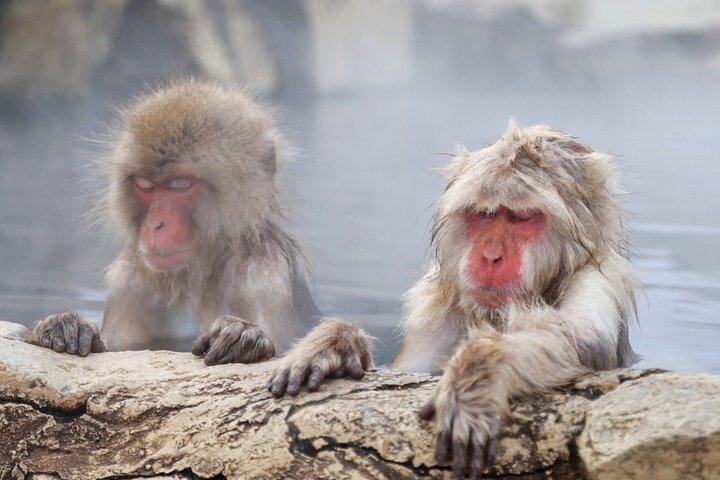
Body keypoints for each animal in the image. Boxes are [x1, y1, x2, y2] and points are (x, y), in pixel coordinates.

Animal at [26, 80, 372, 376]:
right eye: (145, 185)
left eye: (180, 185)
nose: (155, 225)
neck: (200, 275)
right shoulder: (130, 276)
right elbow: (119, 347)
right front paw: (66, 326)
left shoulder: (265, 275)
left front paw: (242, 336)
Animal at [391, 121, 639, 479]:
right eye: (484, 214)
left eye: (520, 218)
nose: (490, 256)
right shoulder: (438, 308)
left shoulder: (600, 279)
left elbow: (578, 340)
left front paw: (479, 372)